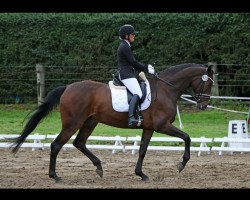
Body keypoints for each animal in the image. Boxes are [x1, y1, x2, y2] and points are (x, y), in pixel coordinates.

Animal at [10, 63, 214, 182]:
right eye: (209, 83)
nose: (203, 106)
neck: (165, 89)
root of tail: (68, 87)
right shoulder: (161, 126)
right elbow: (187, 137)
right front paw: (182, 164)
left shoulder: (149, 128)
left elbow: (142, 150)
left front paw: (141, 174)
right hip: (72, 123)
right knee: (56, 145)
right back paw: (55, 176)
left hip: (90, 122)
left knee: (79, 143)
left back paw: (99, 167)